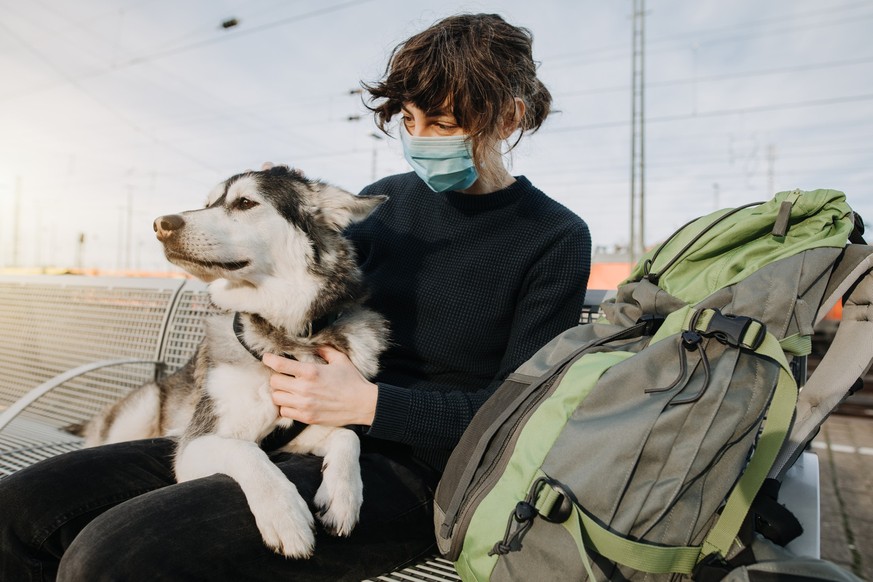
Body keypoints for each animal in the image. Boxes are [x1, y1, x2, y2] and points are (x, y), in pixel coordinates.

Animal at [77, 167, 388, 560]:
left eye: (244, 203)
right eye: (208, 203)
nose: (161, 224)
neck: (285, 337)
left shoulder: (310, 428)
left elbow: (348, 436)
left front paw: (343, 495)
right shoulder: (194, 446)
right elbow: (245, 450)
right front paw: (284, 514)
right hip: (143, 408)